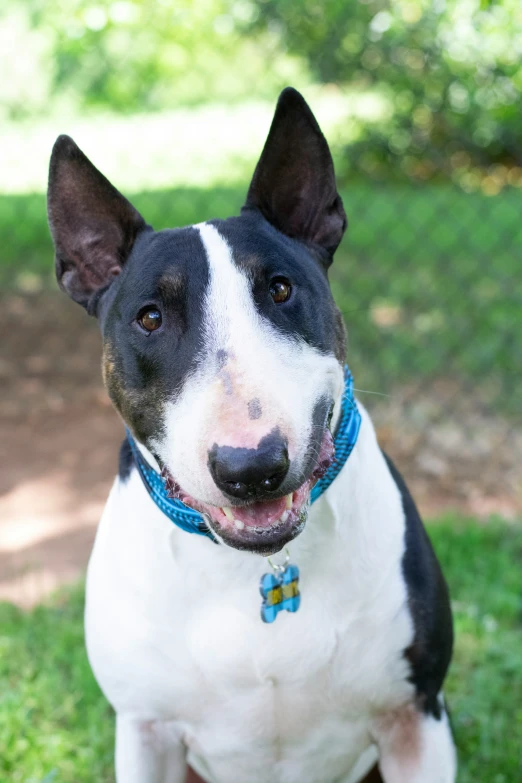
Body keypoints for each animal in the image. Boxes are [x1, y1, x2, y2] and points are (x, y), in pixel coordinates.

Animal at [46, 87, 452, 783]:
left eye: (281, 288)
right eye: (149, 318)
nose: (252, 468)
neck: (257, 569)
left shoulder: (415, 719)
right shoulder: (147, 732)